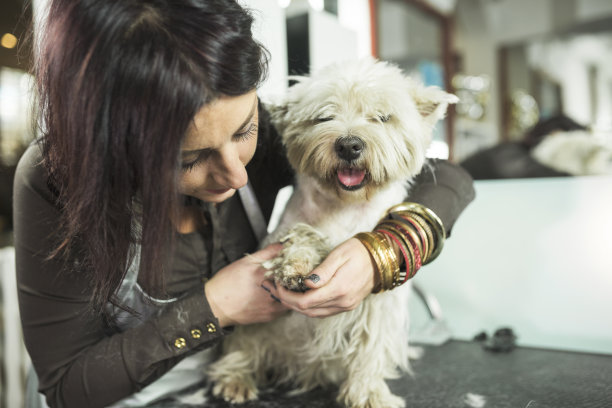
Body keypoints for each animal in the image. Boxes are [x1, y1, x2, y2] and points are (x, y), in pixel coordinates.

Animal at [208, 58, 456, 408]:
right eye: (324, 116)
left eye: (382, 117)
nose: (349, 145)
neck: (345, 206)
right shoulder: (283, 235)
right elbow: (299, 239)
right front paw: (296, 266)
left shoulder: (378, 304)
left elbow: (370, 346)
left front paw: (368, 393)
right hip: (256, 333)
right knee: (244, 349)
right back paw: (235, 379)